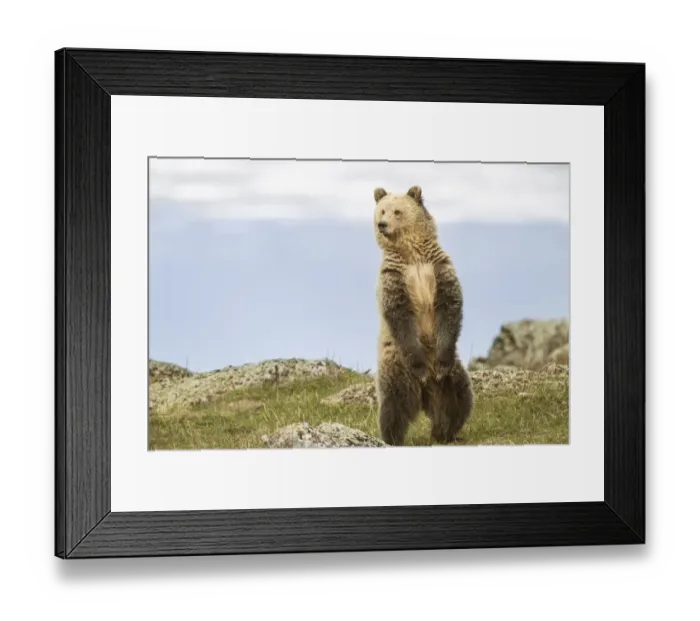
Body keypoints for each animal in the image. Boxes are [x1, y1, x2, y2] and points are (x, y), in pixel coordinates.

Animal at [372, 185, 474, 446]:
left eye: (397, 211)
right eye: (382, 210)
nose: (382, 224)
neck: (412, 255)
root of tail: (425, 391)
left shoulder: (438, 269)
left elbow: (450, 307)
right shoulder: (394, 279)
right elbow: (400, 317)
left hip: (453, 374)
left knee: (459, 398)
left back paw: (446, 432)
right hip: (396, 367)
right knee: (393, 406)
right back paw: (393, 438)